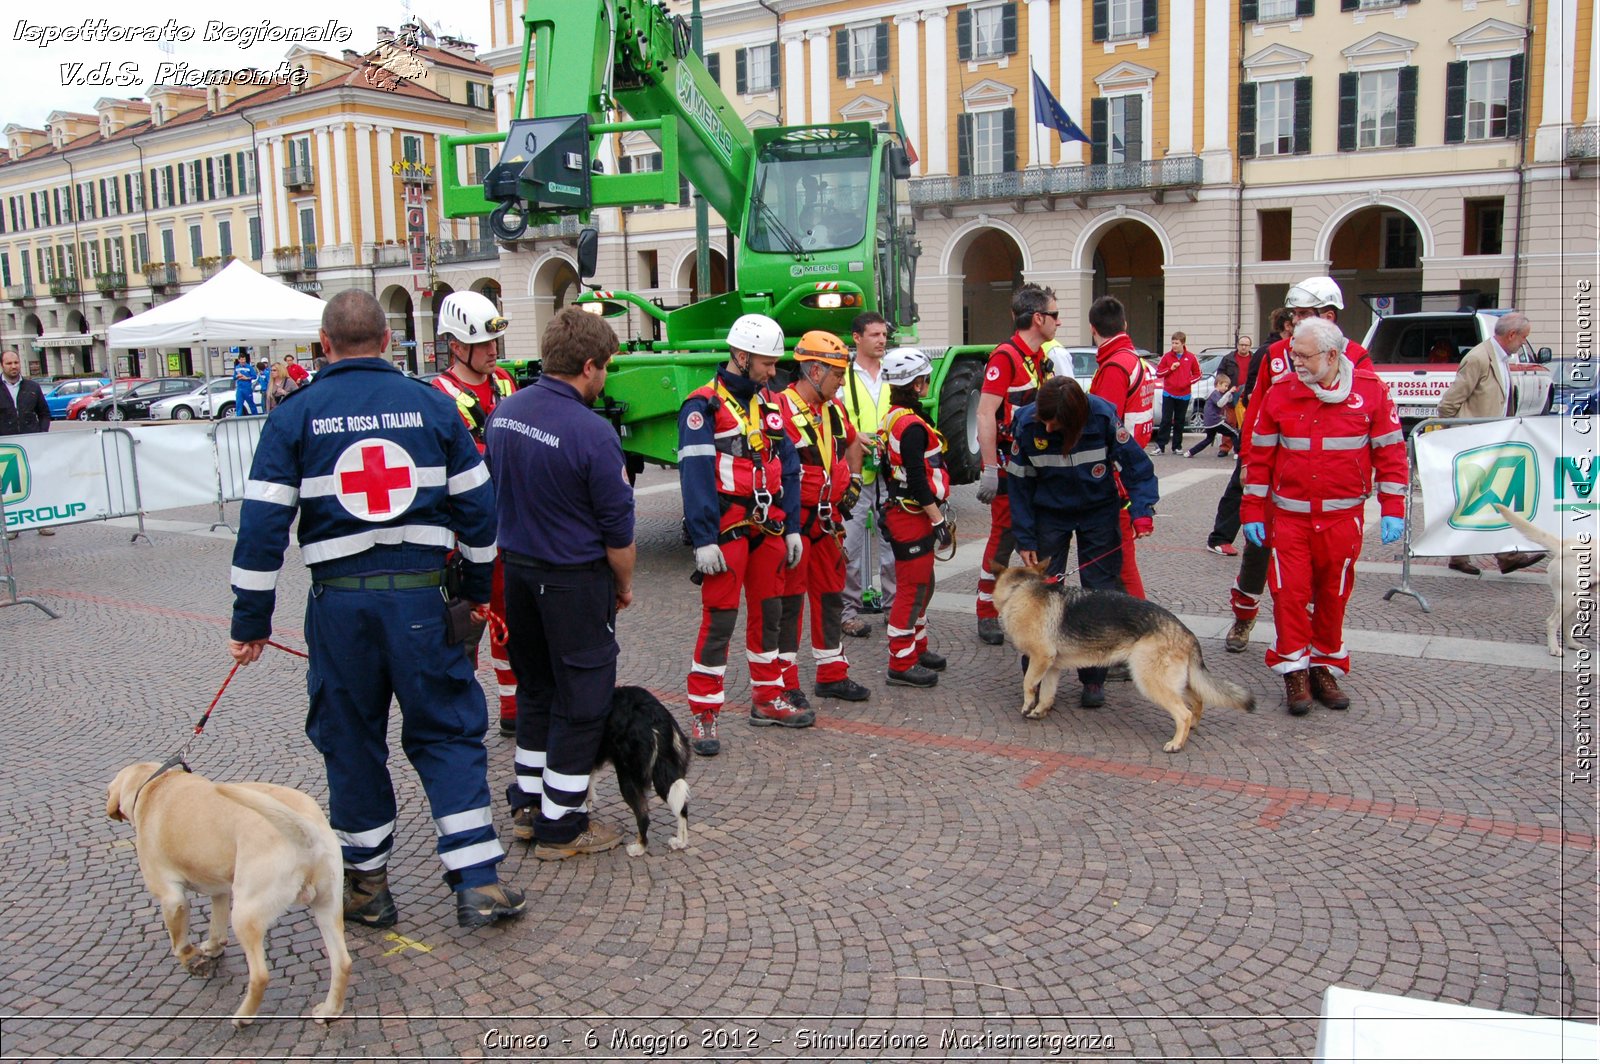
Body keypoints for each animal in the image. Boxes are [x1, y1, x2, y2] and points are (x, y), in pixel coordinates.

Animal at [106, 758, 350, 1024]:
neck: (155, 784)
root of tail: (304, 828)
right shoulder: (219, 889)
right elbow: (217, 923)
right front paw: (213, 948)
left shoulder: (171, 898)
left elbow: (179, 943)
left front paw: (194, 961)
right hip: (327, 906)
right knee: (342, 962)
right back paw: (330, 1010)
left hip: (245, 915)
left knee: (260, 975)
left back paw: (243, 1017)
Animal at [598, 688, 691, 857]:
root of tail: (654, 716)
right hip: (666, 768)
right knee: (682, 806)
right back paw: (680, 842)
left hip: (627, 775)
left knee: (643, 815)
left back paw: (639, 847)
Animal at [992, 560, 1254, 752]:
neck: (1020, 589)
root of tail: (1186, 633)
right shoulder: (1052, 667)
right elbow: (1046, 694)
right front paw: (1040, 711)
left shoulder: (1040, 658)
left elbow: (1028, 683)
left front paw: (1027, 706)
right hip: (1177, 681)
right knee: (1198, 700)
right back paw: (1193, 729)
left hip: (1150, 681)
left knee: (1184, 713)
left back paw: (1177, 743)